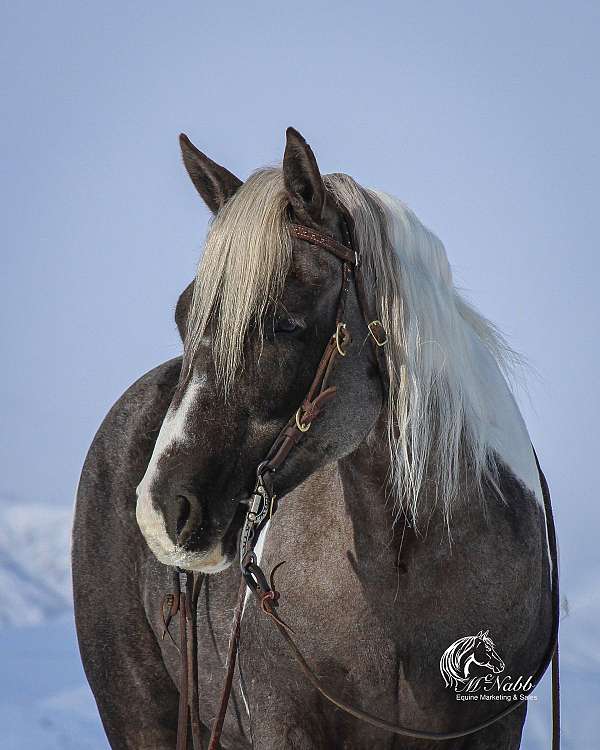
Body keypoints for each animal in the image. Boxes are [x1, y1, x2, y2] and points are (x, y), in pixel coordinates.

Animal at [72, 126, 556, 748]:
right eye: (183, 315)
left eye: (284, 323)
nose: (163, 510)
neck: (404, 568)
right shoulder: (282, 724)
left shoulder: (497, 724)